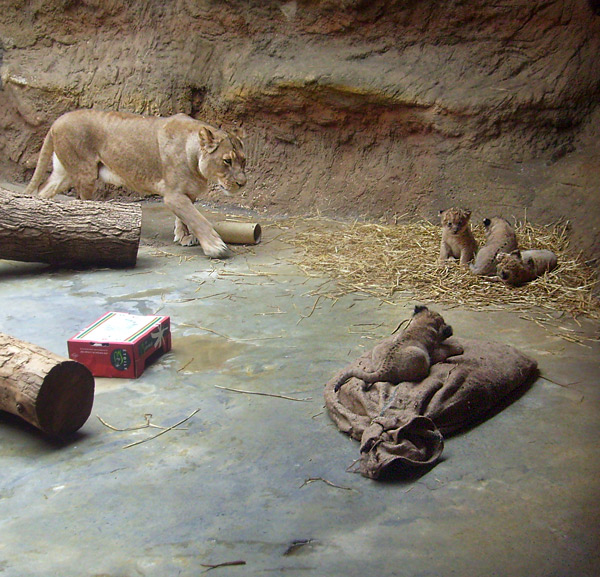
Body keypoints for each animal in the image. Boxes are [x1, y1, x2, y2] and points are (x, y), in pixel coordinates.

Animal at [24, 109, 247, 258]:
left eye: (243, 161)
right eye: (227, 161)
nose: (242, 183)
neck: (194, 156)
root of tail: (57, 120)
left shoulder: (187, 194)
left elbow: (184, 218)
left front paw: (183, 237)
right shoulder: (173, 195)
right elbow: (197, 218)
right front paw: (215, 246)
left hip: (64, 174)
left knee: (43, 192)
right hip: (84, 173)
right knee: (82, 202)